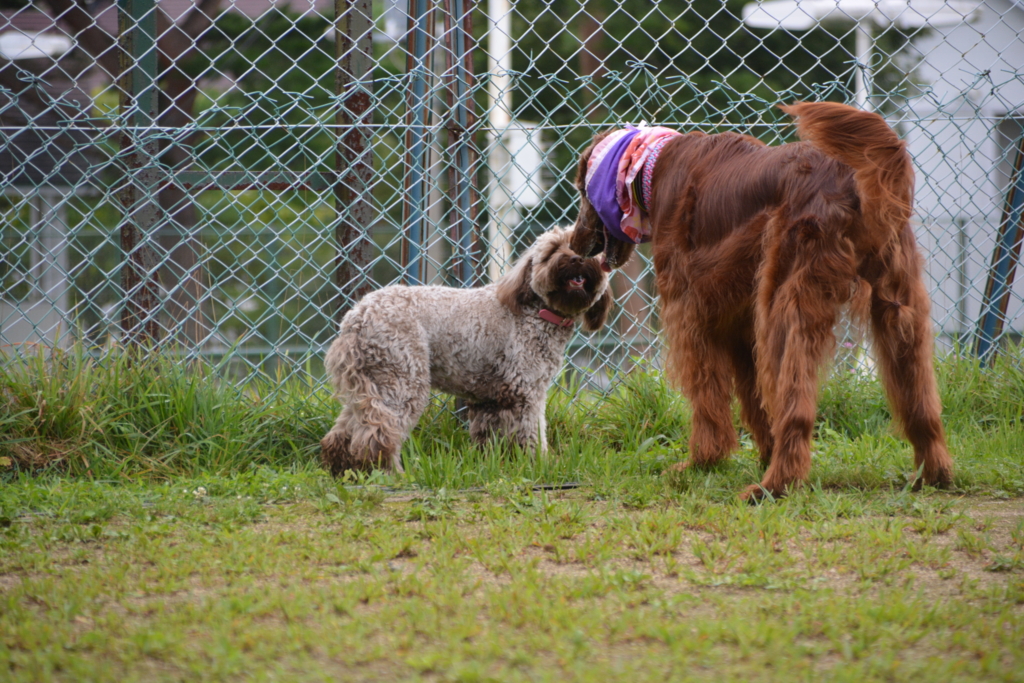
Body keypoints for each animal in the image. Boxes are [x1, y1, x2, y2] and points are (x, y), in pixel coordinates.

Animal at [319, 227, 606, 473]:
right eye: (555, 249)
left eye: (591, 248)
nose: (578, 259)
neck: (536, 311)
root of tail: (358, 316)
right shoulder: (526, 391)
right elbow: (531, 434)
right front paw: (539, 465)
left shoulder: (491, 400)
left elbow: (491, 438)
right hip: (402, 380)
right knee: (379, 432)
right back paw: (390, 472)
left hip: (372, 382)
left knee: (345, 430)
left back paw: (344, 469)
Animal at [573, 101, 954, 499]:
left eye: (582, 190)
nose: (575, 244)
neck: (652, 165)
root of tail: (850, 180)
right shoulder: (739, 325)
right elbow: (753, 399)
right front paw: (758, 454)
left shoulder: (688, 314)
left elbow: (707, 399)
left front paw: (702, 461)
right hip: (898, 308)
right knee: (920, 399)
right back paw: (933, 473)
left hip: (784, 307)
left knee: (795, 407)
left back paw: (776, 484)